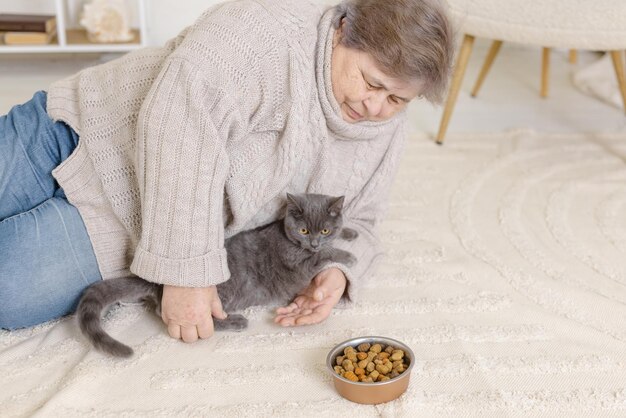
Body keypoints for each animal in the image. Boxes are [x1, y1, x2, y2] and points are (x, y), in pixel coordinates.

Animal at [77, 194, 356, 358]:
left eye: (324, 229)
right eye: (304, 230)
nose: (315, 242)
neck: (289, 237)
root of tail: (159, 282)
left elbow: (336, 239)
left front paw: (350, 232)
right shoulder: (298, 261)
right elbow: (325, 255)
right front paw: (349, 256)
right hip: (223, 294)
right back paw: (236, 322)